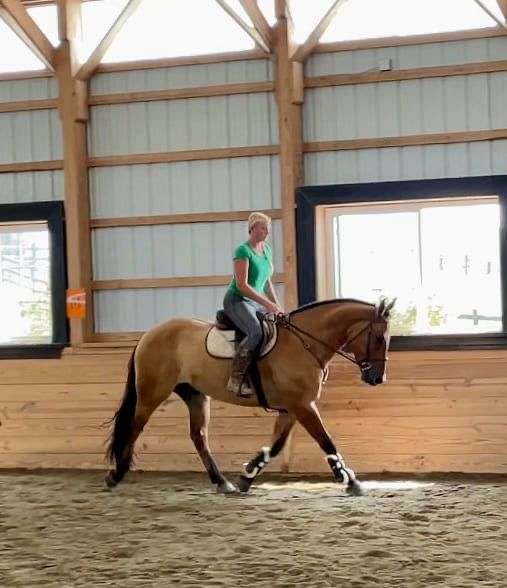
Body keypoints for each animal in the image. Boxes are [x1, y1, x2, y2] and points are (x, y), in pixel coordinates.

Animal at [104, 296, 396, 494]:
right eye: (379, 338)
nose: (376, 378)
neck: (303, 343)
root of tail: (149, 334)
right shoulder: (303, 406)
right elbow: (327, 441)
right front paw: (350, 480)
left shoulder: (292, 407)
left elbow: (276, 446)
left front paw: (247, 475)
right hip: (152, 393)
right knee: (134, 428)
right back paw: (116, 475)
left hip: (195, 396)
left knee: (199, 437)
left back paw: (222, 482)